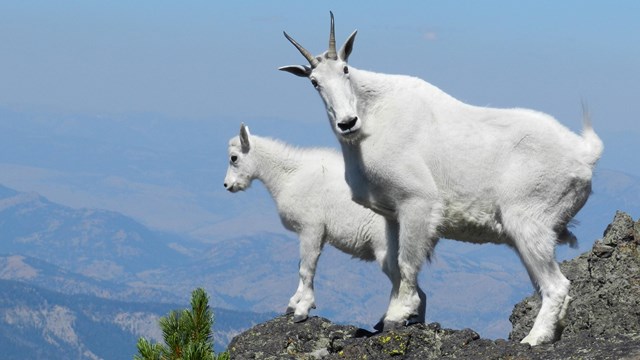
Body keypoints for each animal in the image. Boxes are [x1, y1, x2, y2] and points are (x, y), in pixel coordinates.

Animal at [222, 124, 428, 324]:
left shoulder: (310, 228)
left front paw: (302, 310)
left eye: (234, 157)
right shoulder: (316, 234)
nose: (227, 185)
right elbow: (301, 266)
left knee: (402, 280)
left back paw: (394, 319)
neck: (288, 177)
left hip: (385, 248)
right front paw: (293, 303)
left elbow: (306, 269)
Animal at [278, 13, 600, 346]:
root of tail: (584, 154)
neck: (372, 120)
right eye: (314, 82)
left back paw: (533, 339)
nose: (347, 122)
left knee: (556, 285)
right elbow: (394, 262)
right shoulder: (391, 214)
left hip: (528, 220)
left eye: (345, 69)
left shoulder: (416, 201)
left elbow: (407, 261)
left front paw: (398, 316)